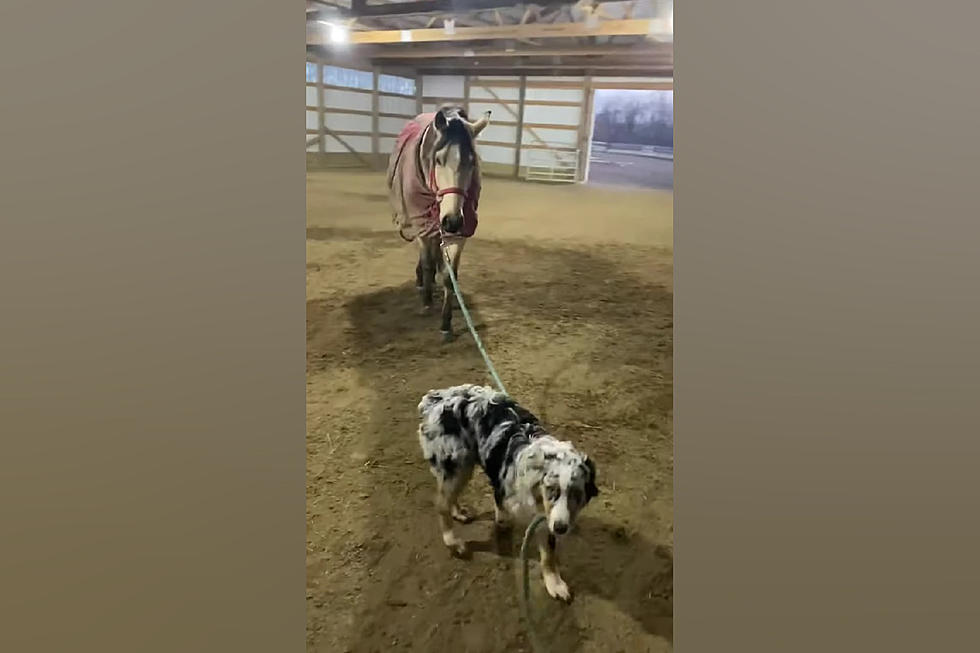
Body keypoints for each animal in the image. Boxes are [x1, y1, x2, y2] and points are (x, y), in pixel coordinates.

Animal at [384, 105, 488, 342]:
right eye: (439, 160)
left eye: (472, 161)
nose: (452, 220)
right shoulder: (422, 225)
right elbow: (427, 262)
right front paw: (427, 303)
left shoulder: (458, 234)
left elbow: (450, 276)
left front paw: (446, 324)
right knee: (428, 257)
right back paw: (423, 283)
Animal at [416, 382, 596, 600]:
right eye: (551, 489)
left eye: (577, 494)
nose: (562, 528)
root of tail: (436, 397)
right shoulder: (502, 495)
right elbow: (503, 522)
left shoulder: (547, 519)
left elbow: (548, 555)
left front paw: (555, 583)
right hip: (456, 464)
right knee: (441, 503)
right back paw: (453, 541)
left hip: (463, 466)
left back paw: (458, 512)